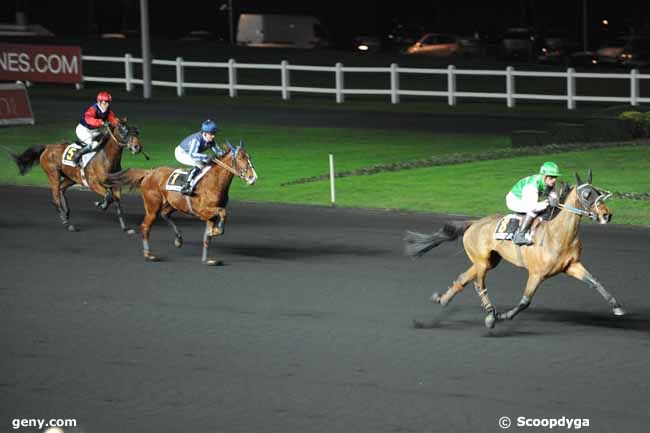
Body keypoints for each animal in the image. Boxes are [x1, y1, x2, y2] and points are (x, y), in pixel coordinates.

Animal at [10, 117, 142, 233]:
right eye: (123, 130)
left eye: (136, 132)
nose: (137, 147)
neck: (105, 157)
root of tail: (47, 147)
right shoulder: (93, 184)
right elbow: (109, 197)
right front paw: (101, 204)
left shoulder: (116, 185)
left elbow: (117, 203)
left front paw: (125, 228)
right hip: (53, 175)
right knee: (56, 199)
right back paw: (68, 224)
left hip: (70, 178)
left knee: (62, 190)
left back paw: (66, 213)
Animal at [106, 140, 256, 264]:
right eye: (240, 158)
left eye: (249, 157)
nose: (253, 177)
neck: (214, 181)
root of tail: (149, 172)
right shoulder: (203, 210)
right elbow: (223, 212)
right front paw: (216, 231)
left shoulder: (210, 215)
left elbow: (207, 237)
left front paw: (207, 258)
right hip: (152, 207)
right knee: (145, 227)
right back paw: (149, 255)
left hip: (172, 204)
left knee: (165, 214)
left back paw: (178, 238)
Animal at [404, 169, 624, 328]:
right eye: (587, 194)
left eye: (599, 192)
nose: (607, 215)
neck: (557, 234)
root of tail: (474, 223)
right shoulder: (536, 273)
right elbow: (525, 301)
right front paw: (504, 315)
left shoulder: (572, 266)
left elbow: (595, 282)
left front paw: (617, 307)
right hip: (482, 261)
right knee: (479, 284)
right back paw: (491, 314)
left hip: (488, 260)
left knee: (463, 278)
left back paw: (442, 299)